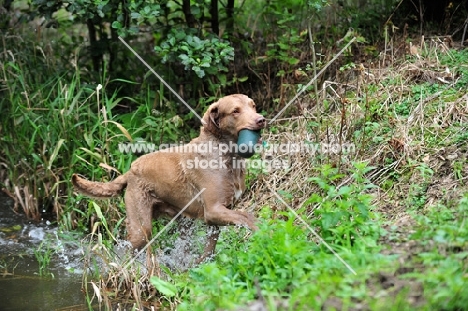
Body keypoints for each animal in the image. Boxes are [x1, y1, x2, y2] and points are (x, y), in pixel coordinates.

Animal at [71, 94, 266, 262]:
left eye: (253, 105)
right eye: (235, 111)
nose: (261, 119)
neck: (225, 153)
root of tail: (130, 171)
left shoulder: (218, 216)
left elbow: (210, 247)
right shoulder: (213, 210)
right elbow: (245, 216)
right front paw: (263, 229)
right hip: (141, 228)